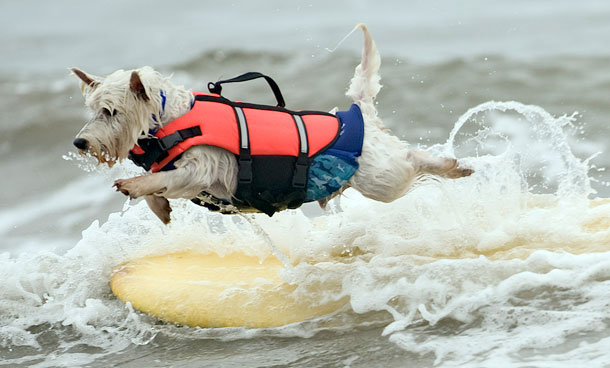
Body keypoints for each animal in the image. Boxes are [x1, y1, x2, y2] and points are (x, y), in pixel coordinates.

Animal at [71, 25, 470, 224]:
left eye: (110, 111)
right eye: (92, 110)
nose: (80, 143)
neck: (173, 119)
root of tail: (358, 114)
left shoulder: (203, 170)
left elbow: (164, 178)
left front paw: (135, 185)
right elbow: (160, 187)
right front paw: (158, 207)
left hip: (379, 179)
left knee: (410, 162)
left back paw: (451, 165)